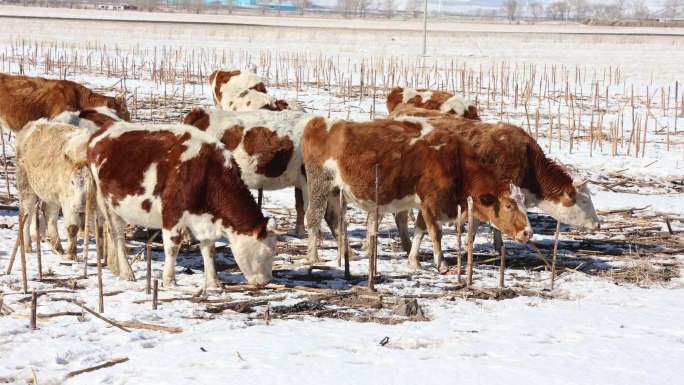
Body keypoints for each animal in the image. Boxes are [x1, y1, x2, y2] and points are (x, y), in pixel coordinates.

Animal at [85, 121, 278, 286]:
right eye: (267, 252)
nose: (266, 281)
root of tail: (101, 132)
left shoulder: (205, 220)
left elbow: (209, 250)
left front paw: (213, 283)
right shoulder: (172, 213)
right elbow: (172, 247)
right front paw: (169, 281)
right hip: (106, 203)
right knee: (117, 236)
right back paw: (127, 272)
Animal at [302, 115, 532, 268]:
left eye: (523, 204)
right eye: (509, 205)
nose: (528, 232)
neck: (454, 161)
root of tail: (320, 123)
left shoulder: (425, 203)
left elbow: (420, 230)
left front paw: (414, 260)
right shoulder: (431, 200)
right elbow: (435, 232)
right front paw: (441, 264)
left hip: (335, 191)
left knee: (335, 220)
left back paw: (347, 252)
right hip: (319, 185)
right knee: (313, 218)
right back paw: (313, 257)